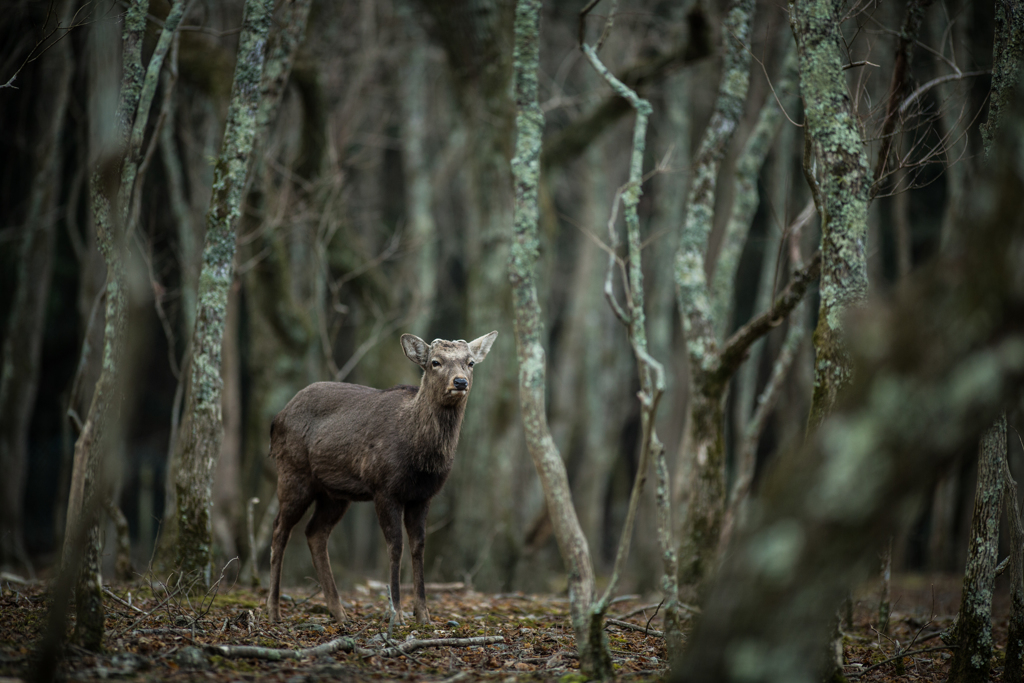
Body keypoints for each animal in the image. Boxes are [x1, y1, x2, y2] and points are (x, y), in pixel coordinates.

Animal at [266, 331, 497, 626]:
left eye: (470, 363)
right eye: (435, 362)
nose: (460, 382)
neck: (420, 459)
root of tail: (277, 419)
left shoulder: (423, 496)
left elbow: (418, 547)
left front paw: (424, 615)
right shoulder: (384, 488)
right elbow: (395, 545)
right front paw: (396, 613)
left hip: (334, 493)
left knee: (315, 532)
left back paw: (339, 612)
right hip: (293, 472)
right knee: (279, 529)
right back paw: (273, 609)